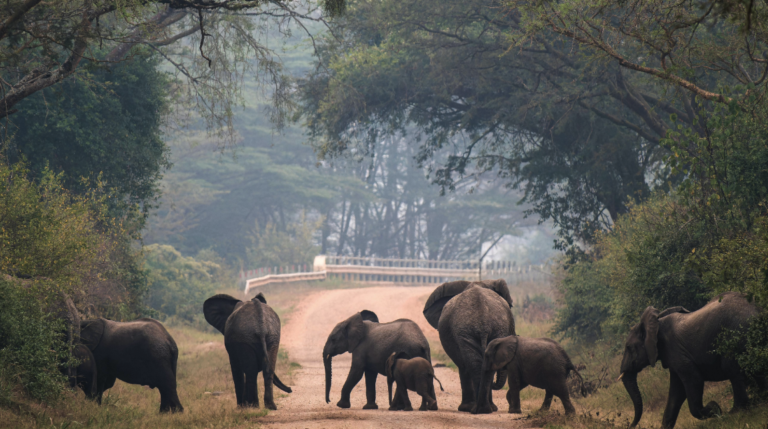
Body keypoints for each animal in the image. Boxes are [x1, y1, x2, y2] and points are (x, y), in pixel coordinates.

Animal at [423, 279, 516, 412]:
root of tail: (483, 323)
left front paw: (465, 408)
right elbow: (464, 366)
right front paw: (465, 408)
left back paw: (483, 409)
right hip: (469, 332)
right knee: (477, 365)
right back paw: (483, 409)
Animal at [619, 292, 762, 428]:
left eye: (629, 347)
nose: (630, 425)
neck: (657, 323)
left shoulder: (677, 351)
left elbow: (694, 380)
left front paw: (715, 409)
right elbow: (677, 391)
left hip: (735, 332)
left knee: (731, 368)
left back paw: (737, 411)